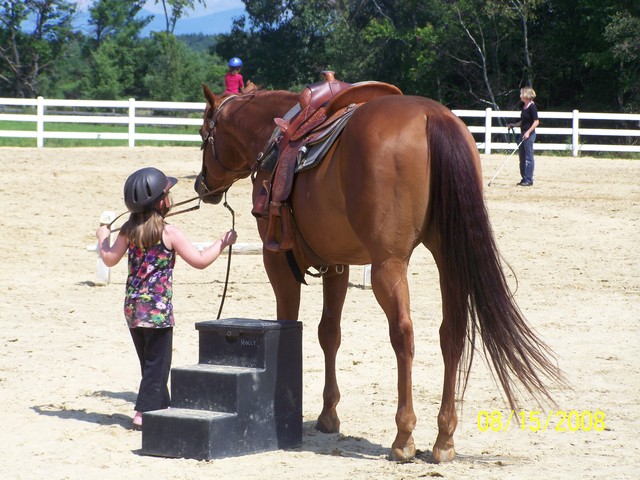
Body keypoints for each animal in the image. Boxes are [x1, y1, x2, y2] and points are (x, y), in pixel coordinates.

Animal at [194, 81, 563, 462]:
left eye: (204, 133)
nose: (201, 185)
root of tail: (434, 117)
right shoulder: (337, 265)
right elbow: (330, 333)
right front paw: (328, 414)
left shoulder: (278, 261)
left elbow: (288, 324)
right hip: (447, 260)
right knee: (451, 333)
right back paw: (444, 438)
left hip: (388, 265)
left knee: (404, 335)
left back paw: (404, 437)